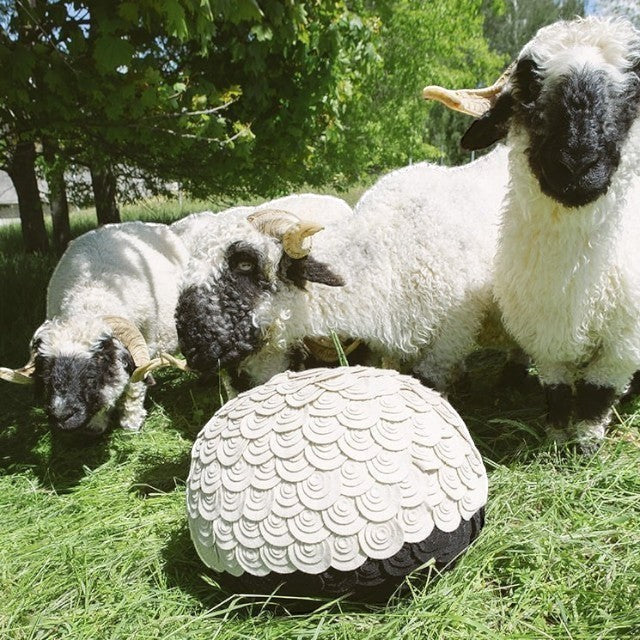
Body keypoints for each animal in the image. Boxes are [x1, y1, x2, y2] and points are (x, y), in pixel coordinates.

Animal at [0, 221, 188, 436]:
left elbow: (135, 385)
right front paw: (97, 424)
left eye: (92, 373)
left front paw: (131, 422)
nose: (61, 417)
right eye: (46, 374)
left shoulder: (146, 343)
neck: (92, 293)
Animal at [423, 16, 640, 451]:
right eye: (528, 84)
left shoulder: (624, 344)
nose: (576, 164)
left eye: (635, 87)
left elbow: (596, 395)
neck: (573, 279)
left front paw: (586, 447)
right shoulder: (543, 333)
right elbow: (557, 391)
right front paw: (557, 438)